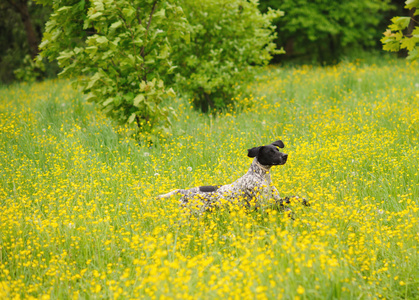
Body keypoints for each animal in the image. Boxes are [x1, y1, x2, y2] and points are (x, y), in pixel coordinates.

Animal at [158, 141, 308, 213]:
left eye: (277, 149)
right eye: (270, 152)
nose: (285, 156)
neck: (261, 177)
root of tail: (185, 192)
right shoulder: (265, 204)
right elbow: (290, 198)